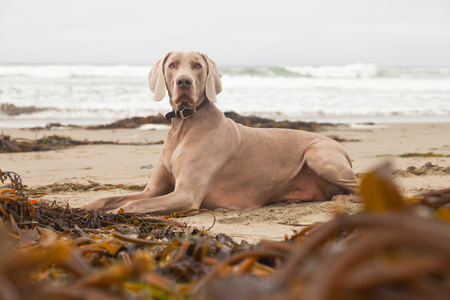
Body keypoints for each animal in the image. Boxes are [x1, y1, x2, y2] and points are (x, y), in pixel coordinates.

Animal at [84, 52, 358, 216]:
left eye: (197, 66)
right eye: (172, 65)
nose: (184, 82)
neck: (183, 126)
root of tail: (341, 147)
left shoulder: (186, 195)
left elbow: (132, 205)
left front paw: (111, 215)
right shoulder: (153, 191)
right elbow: (111, 199)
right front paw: (87, 207)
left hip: (318, 154)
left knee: (357, 184)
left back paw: (344, 199)